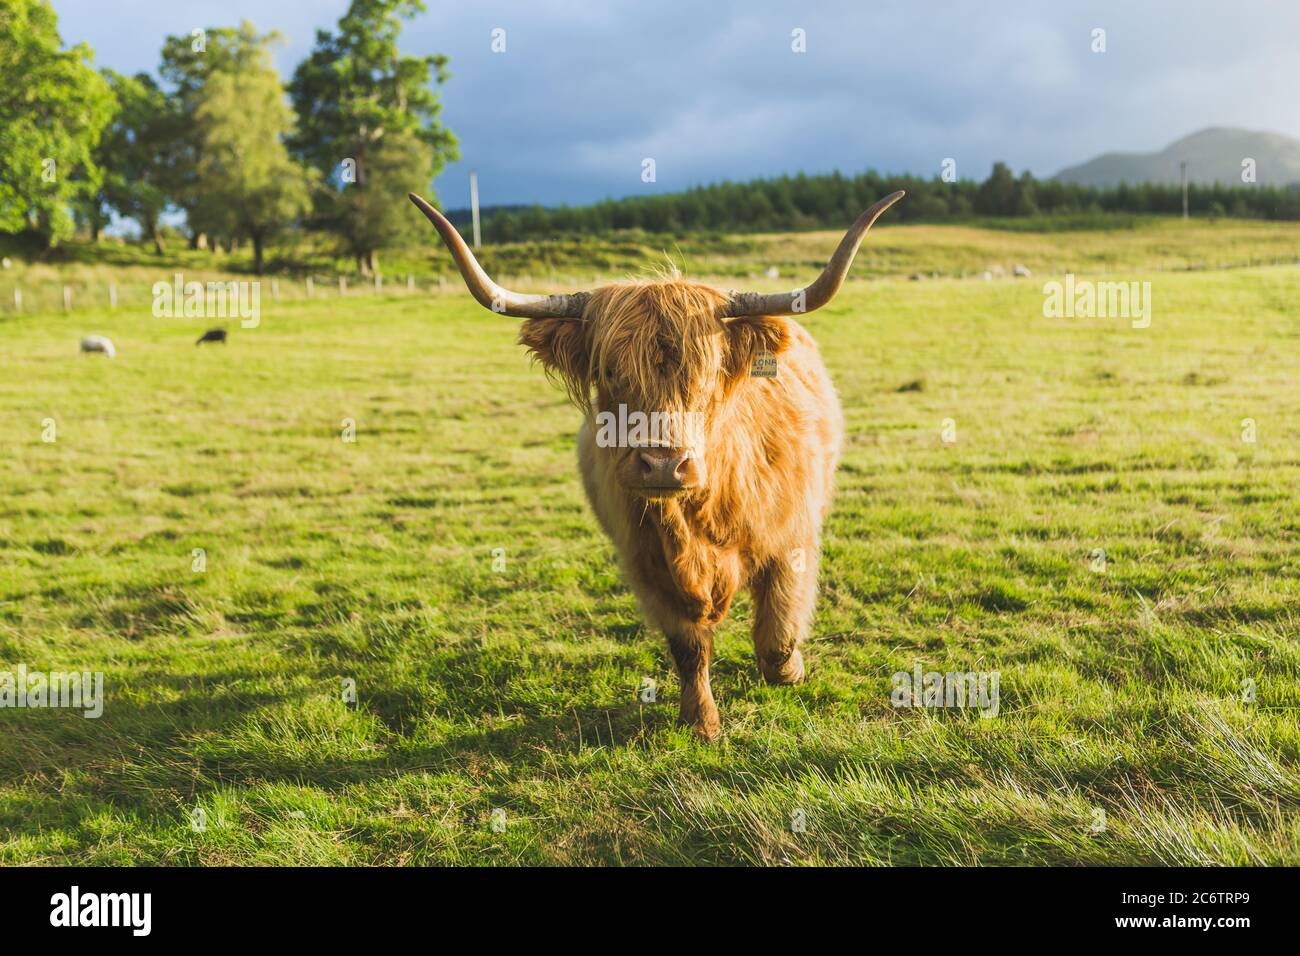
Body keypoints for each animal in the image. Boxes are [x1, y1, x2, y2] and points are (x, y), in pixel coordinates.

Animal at [410, 190, 905, 739]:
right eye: (609, 372)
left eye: (709, 372)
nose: (664, 465)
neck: (699, 522)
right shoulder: (648, 567)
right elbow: (689, 648)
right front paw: (702, 721)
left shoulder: (791, 537)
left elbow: (776, 638)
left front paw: (791, 670)